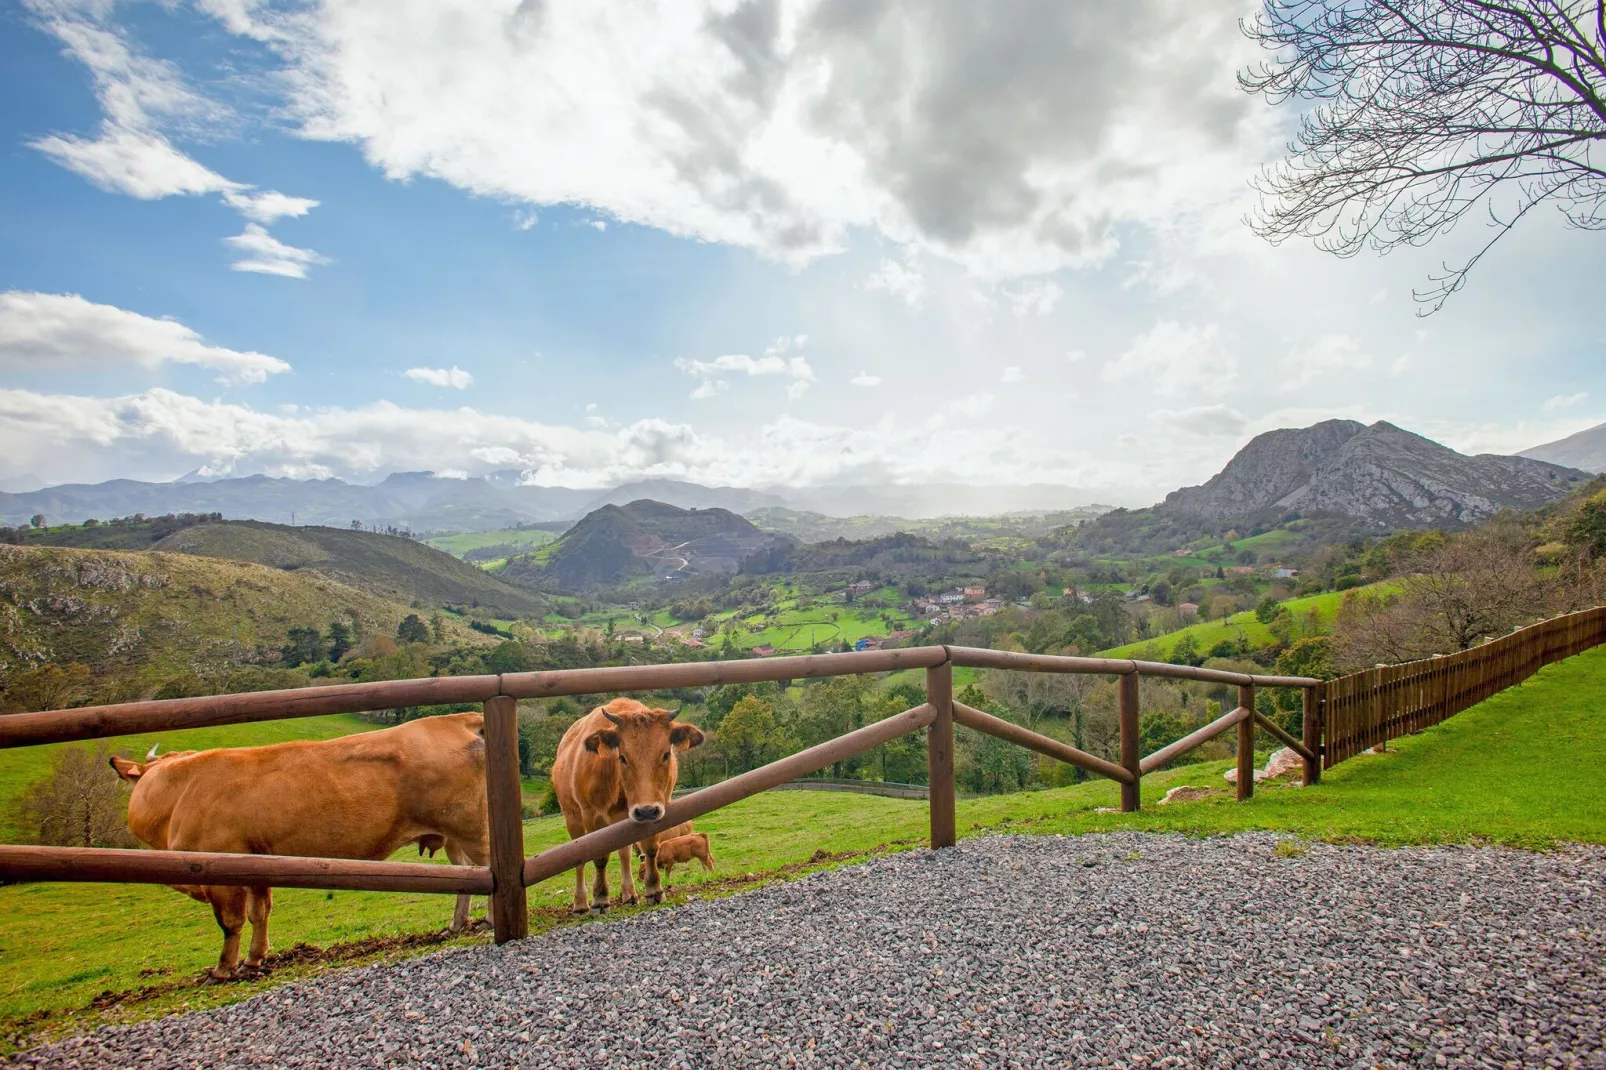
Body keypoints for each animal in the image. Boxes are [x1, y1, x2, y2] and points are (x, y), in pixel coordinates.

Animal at [111, 706, 488, 976]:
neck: (181, 793)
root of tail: (458, 720)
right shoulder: (257, 864)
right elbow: (259, 912)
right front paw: (254, 959)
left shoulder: (221, 871)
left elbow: (231, 922)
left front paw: (223, 968)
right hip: (453, 839)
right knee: (466, 878)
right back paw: (455, 926)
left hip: (474, 831)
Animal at [552, 697, 703, 912]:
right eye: (622, 757)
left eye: (666, 754)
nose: (645, 811)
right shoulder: (592, 815)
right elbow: (599, 856)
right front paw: (600, 898)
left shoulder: (658, 808)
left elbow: (650, 848)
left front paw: (654, 889)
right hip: (573, 818)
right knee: (578, 859)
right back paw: (581, 903)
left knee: (624, 852)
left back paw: (629, 894)